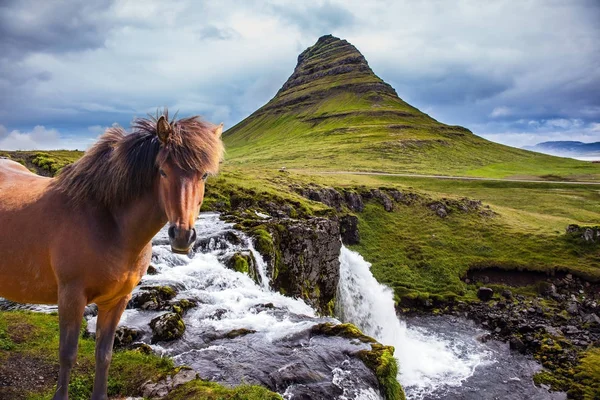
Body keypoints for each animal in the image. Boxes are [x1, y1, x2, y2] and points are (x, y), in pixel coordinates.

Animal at [0, 111, 224, 400]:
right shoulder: (71, 296)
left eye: (204, 175)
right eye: (162, 171)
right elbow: (67, 354)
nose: (182, 236)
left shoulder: (118, 299)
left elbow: (104, 354)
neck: (110, 224)